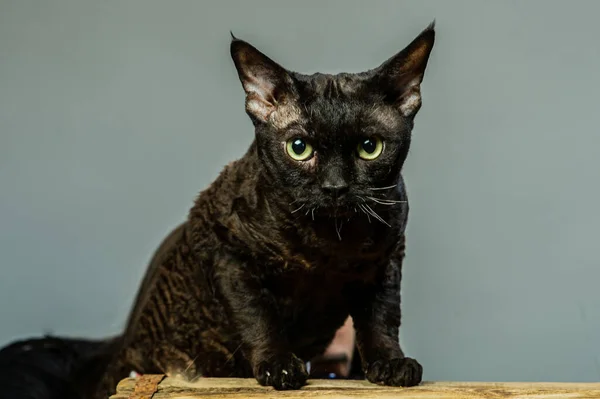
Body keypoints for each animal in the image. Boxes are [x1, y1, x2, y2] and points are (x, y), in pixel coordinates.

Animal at [94, 22, 436, 399]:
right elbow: (256, 315)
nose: (334, 187)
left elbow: (382, 317)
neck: (328, 244)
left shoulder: (385, 262)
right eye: (299, 148)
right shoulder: (225, 250)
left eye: (369, 148)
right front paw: (278, 365)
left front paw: (390, 362)